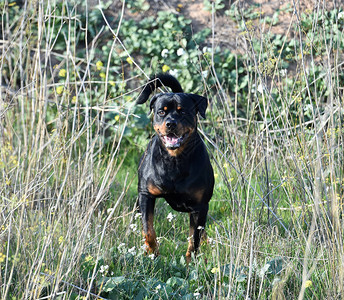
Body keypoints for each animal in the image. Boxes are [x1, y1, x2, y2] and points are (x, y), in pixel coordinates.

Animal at [136, 73, 212, 260]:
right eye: (161, 112)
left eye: (182, 111)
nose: (170, 123)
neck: (174, 160)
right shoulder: (146, 195)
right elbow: (148, 230)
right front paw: (153, 253)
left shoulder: (200, 206)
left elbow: (194, 239)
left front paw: (190, 262)